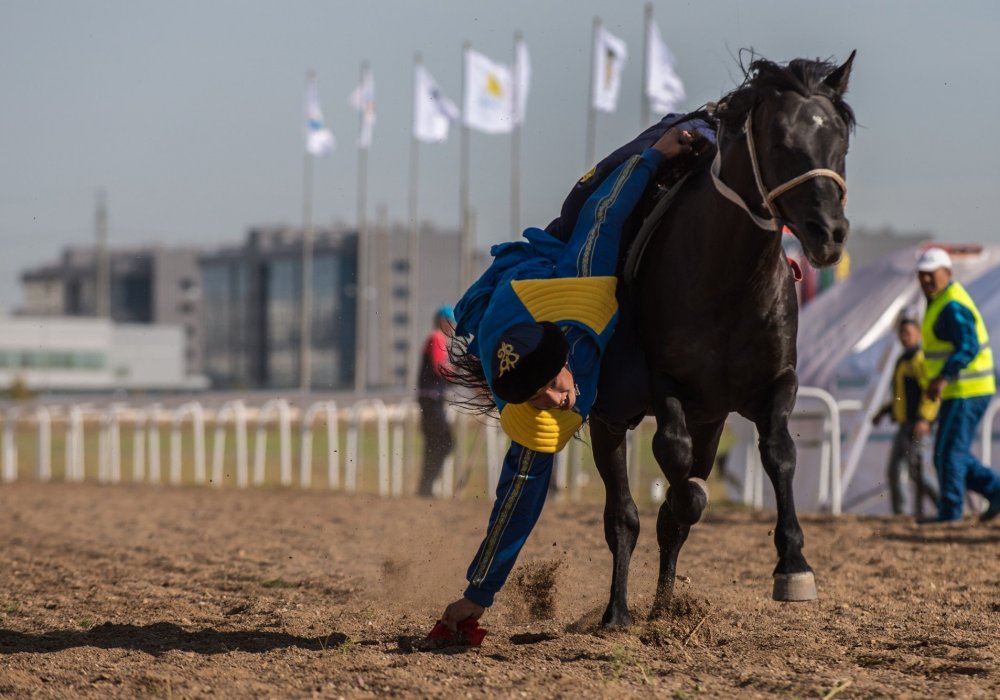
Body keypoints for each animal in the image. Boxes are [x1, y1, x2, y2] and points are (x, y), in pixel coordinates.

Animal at [588, 52, 856, 628]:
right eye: (780, 142)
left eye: (840, 142)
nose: (829, 232)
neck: (729, 281)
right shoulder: (663, 380)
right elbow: (673, 460)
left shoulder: (775, 382)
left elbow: (778, 452)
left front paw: (794, 565)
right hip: (610, 416)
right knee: (622, 514)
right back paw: (618, 611)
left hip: (710, 419)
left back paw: (663, 607)